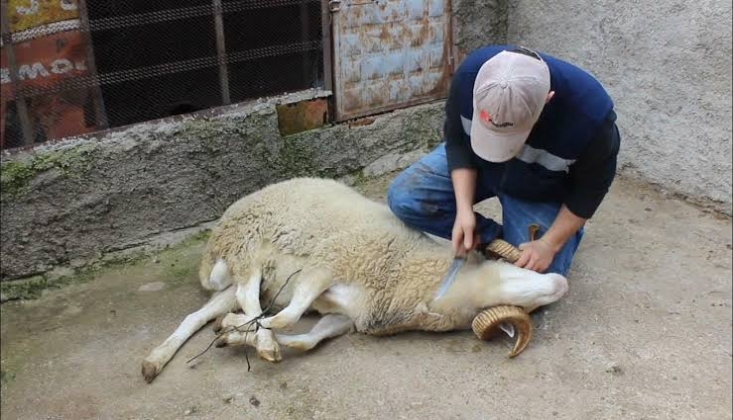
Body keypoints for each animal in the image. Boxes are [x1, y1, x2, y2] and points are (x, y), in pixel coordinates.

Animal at [142, 177, 568, 384]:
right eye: (516, 275)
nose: (560, 283)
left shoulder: (345, 316)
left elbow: (309, 339)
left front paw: (234, 335)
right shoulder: (329, 263)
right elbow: (289, 316)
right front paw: (262, 339)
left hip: (239, 274)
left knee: (199, 316)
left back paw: (156, 360)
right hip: (247, 249)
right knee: (250, 296)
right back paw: (258, 338)